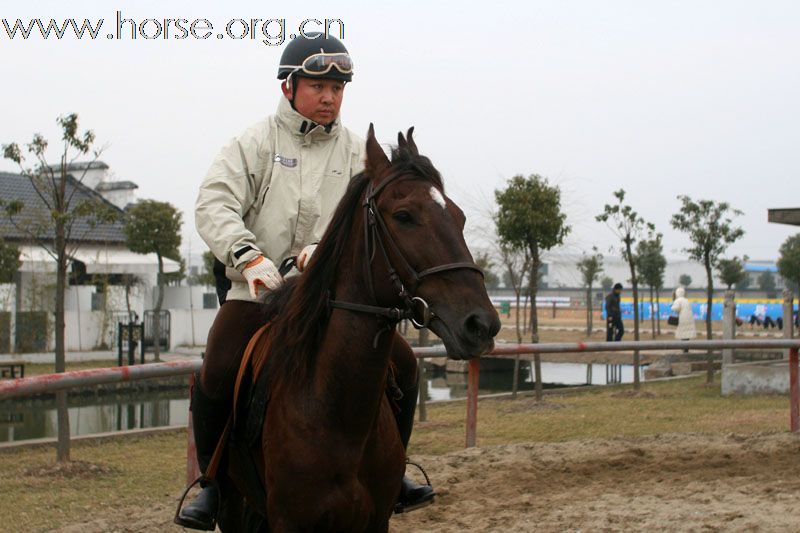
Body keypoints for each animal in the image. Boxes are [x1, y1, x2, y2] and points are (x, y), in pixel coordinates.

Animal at [216, 125, 496, 532]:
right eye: (404, 215)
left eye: (458, 217)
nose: (482, 325)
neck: (337, 414)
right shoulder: (289, 520)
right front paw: (258, 270)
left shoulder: (376, 520)